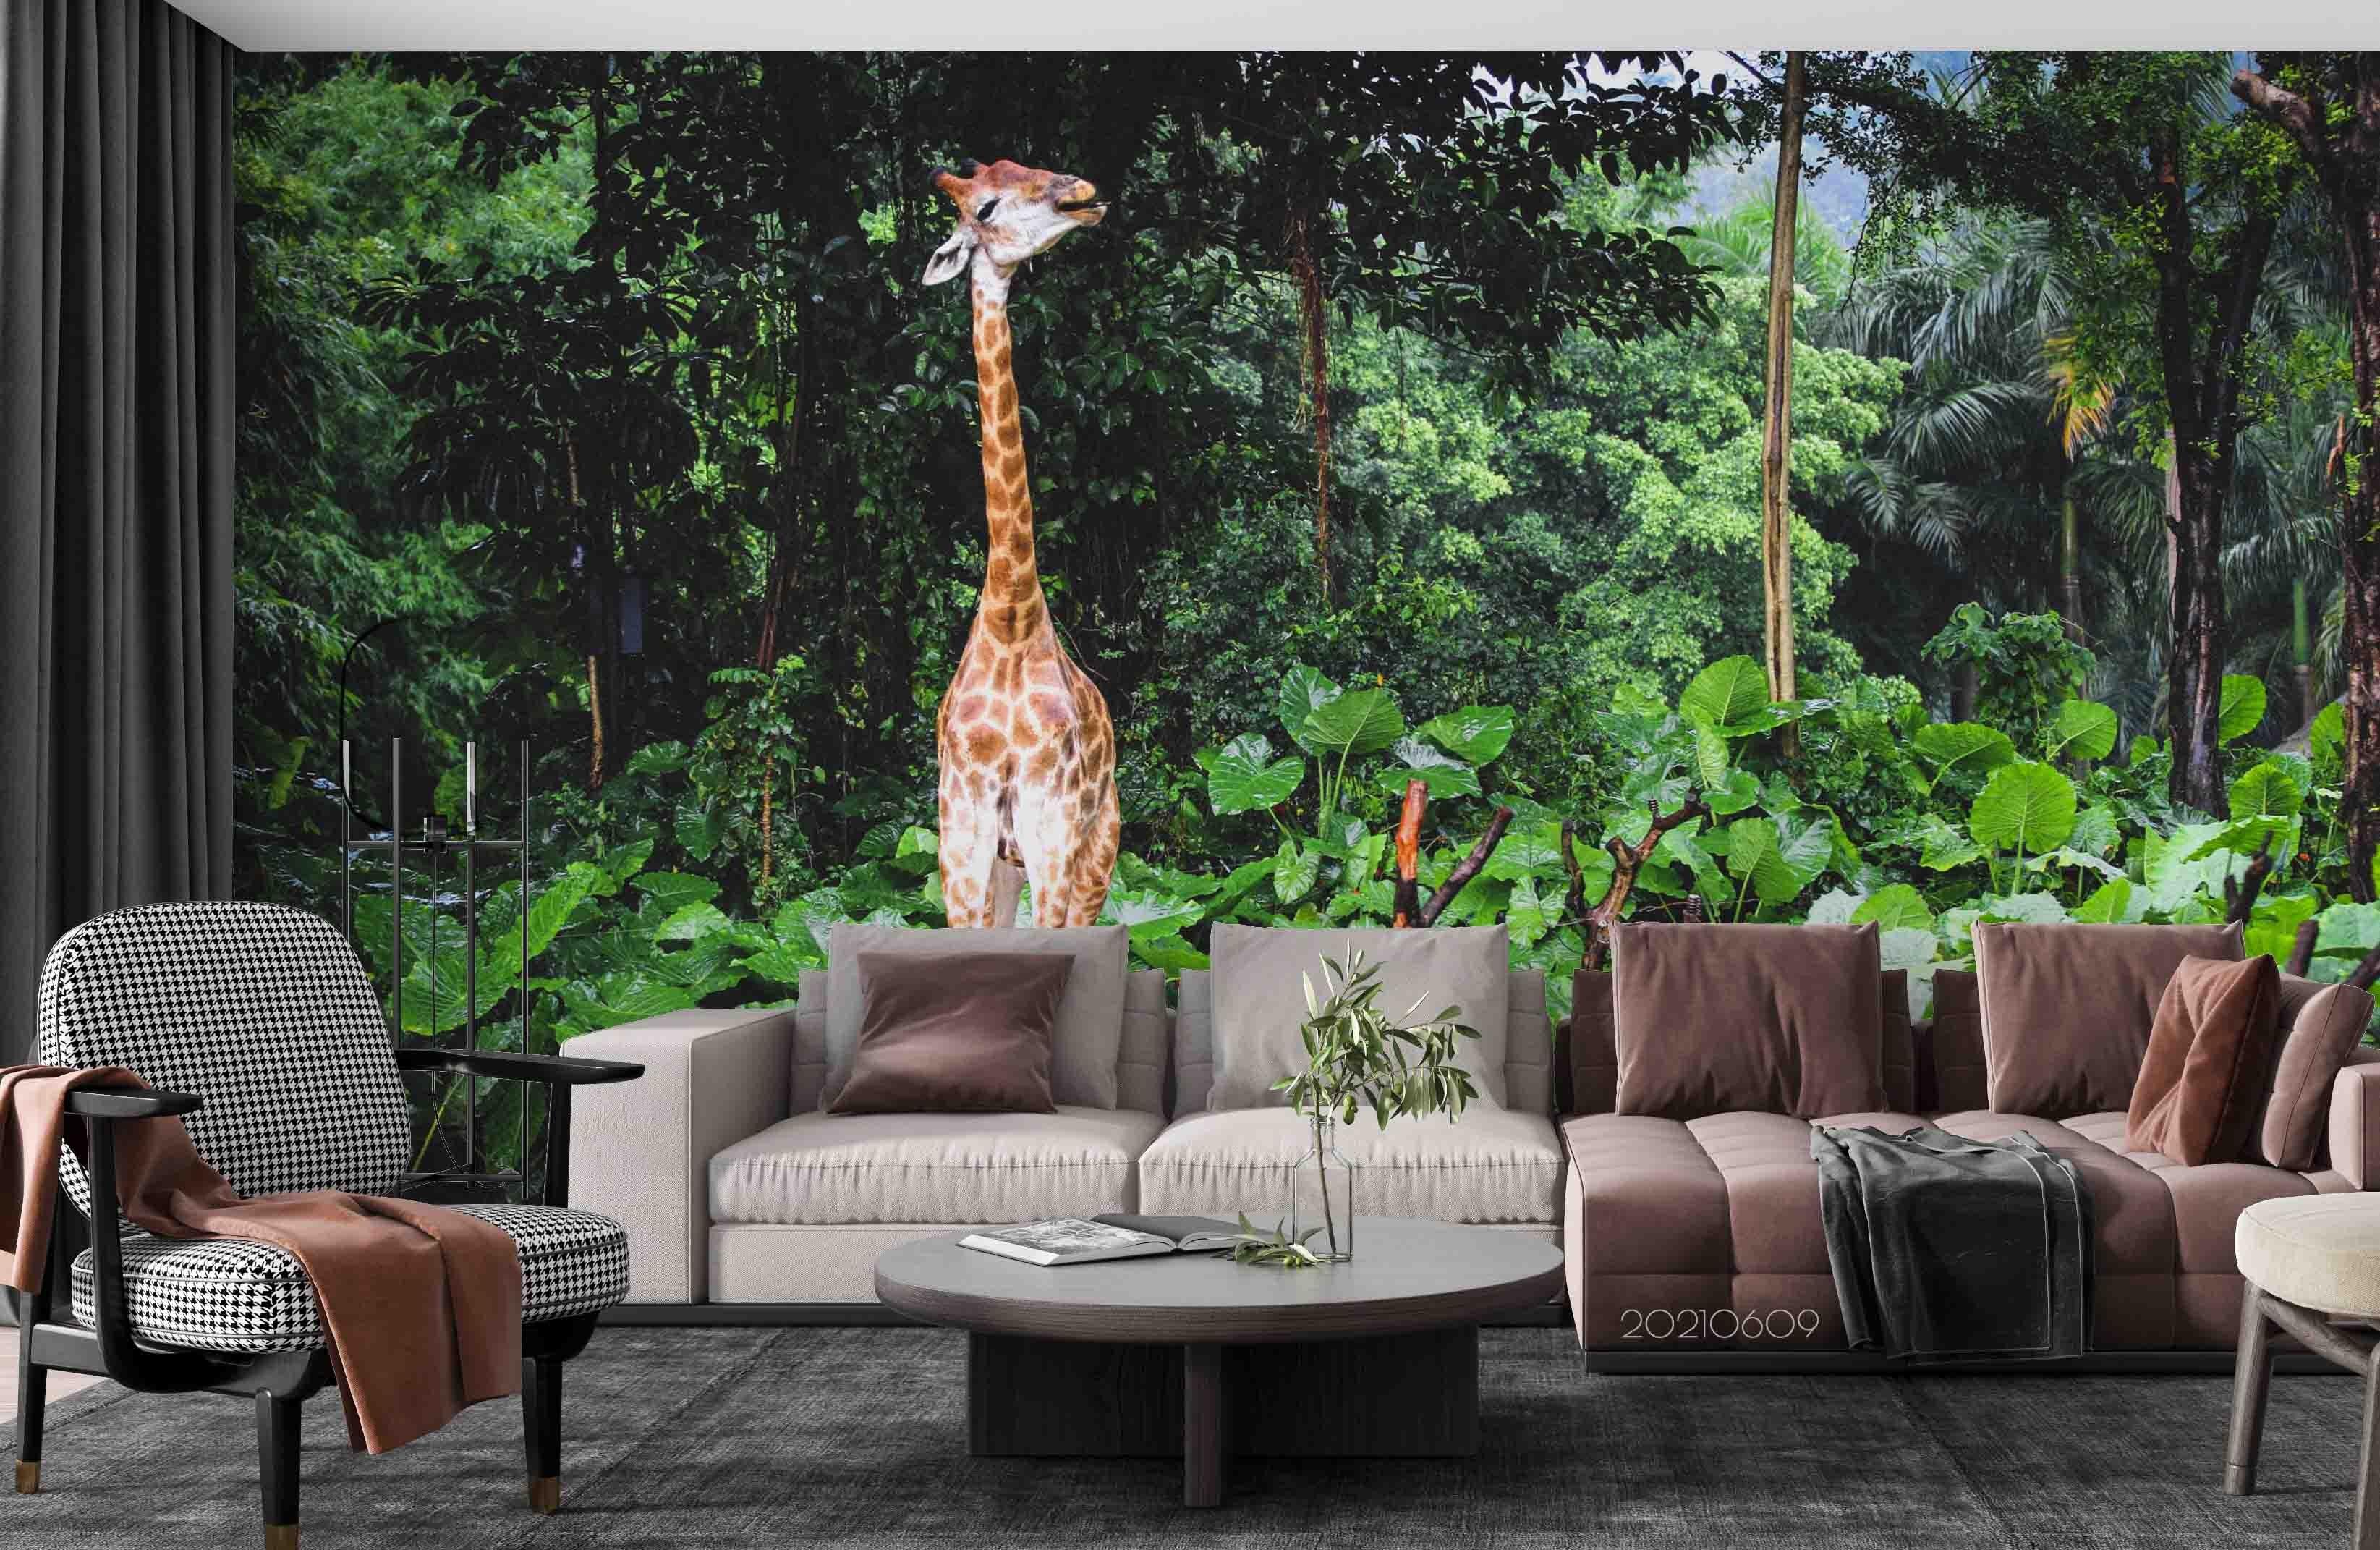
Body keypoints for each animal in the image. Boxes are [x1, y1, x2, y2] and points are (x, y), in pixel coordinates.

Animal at [920, 157, 1120, 929]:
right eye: (986, 206)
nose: (1082, 195)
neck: (1011, 617)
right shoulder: (961, 838)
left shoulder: (1053, 831)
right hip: (1009, 866)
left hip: (1099, 849)